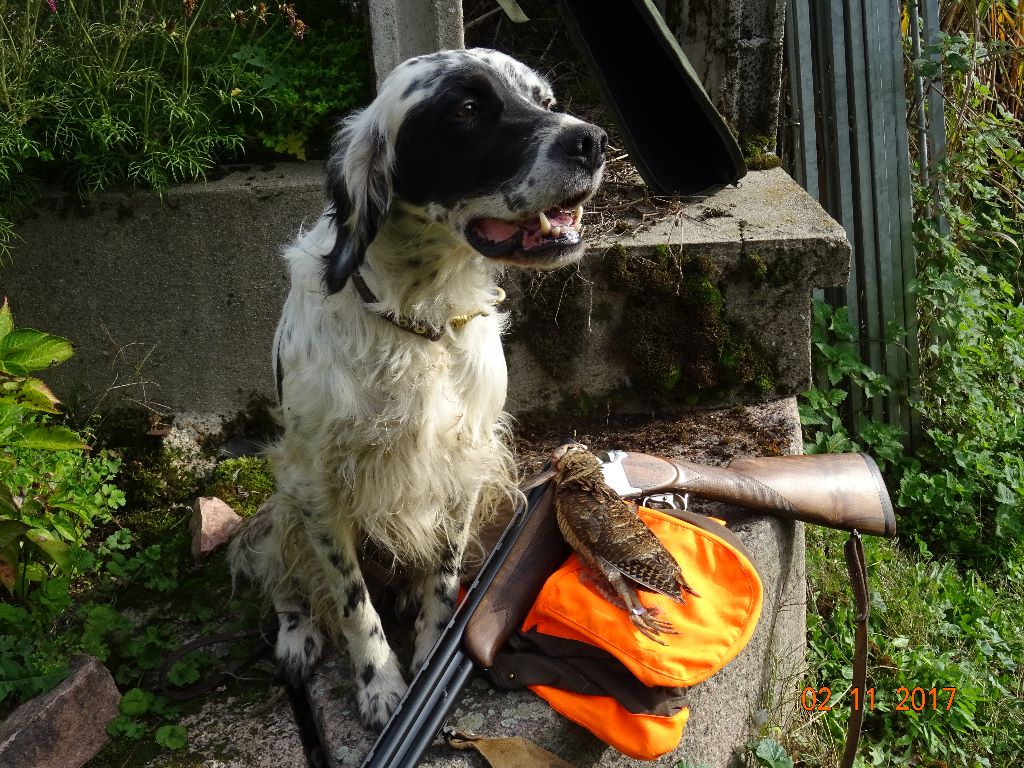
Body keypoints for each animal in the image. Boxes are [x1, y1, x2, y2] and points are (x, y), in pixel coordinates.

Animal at [228, 48, 602, 729]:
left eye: (545, 100)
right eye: (467, 109)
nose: (592, 140)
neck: (419, 315)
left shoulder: (464, 465)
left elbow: (444, 576)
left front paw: (431, 653)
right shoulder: (317, 486)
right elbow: (352, 602)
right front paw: (380, 686)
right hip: (283, 504)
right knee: (284, 580)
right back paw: (296, 634)